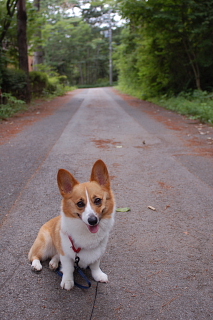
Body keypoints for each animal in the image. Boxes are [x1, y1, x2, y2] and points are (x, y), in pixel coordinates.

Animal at [28, 160, 115, 290]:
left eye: (98, 200)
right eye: (80, 203)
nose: (93, 220)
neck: (85, 231)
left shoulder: (98, 250)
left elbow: (95, 264)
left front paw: (98, 275)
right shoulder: (66, 253)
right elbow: (68, 268)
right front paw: (67, 281)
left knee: (55, 255)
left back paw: (53, 263)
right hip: (45, 243)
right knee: (34, 256)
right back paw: (37, 265)